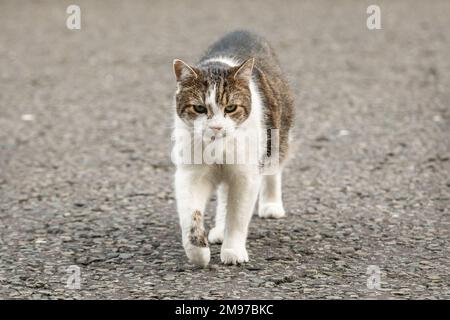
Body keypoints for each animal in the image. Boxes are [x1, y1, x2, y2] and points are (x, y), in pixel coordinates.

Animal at [171, 30, 294, 266]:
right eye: (199, 108)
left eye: (230, 108)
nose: (216, 126)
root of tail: (243, 31)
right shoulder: (191, 174)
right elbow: (191, 215)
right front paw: (198, 252)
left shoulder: (246, 174)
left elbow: (237, 216)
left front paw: (233, 251)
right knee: (224, 195)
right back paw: (219, 229)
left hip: (277, 134)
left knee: (274, 168)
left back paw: (271, 205)